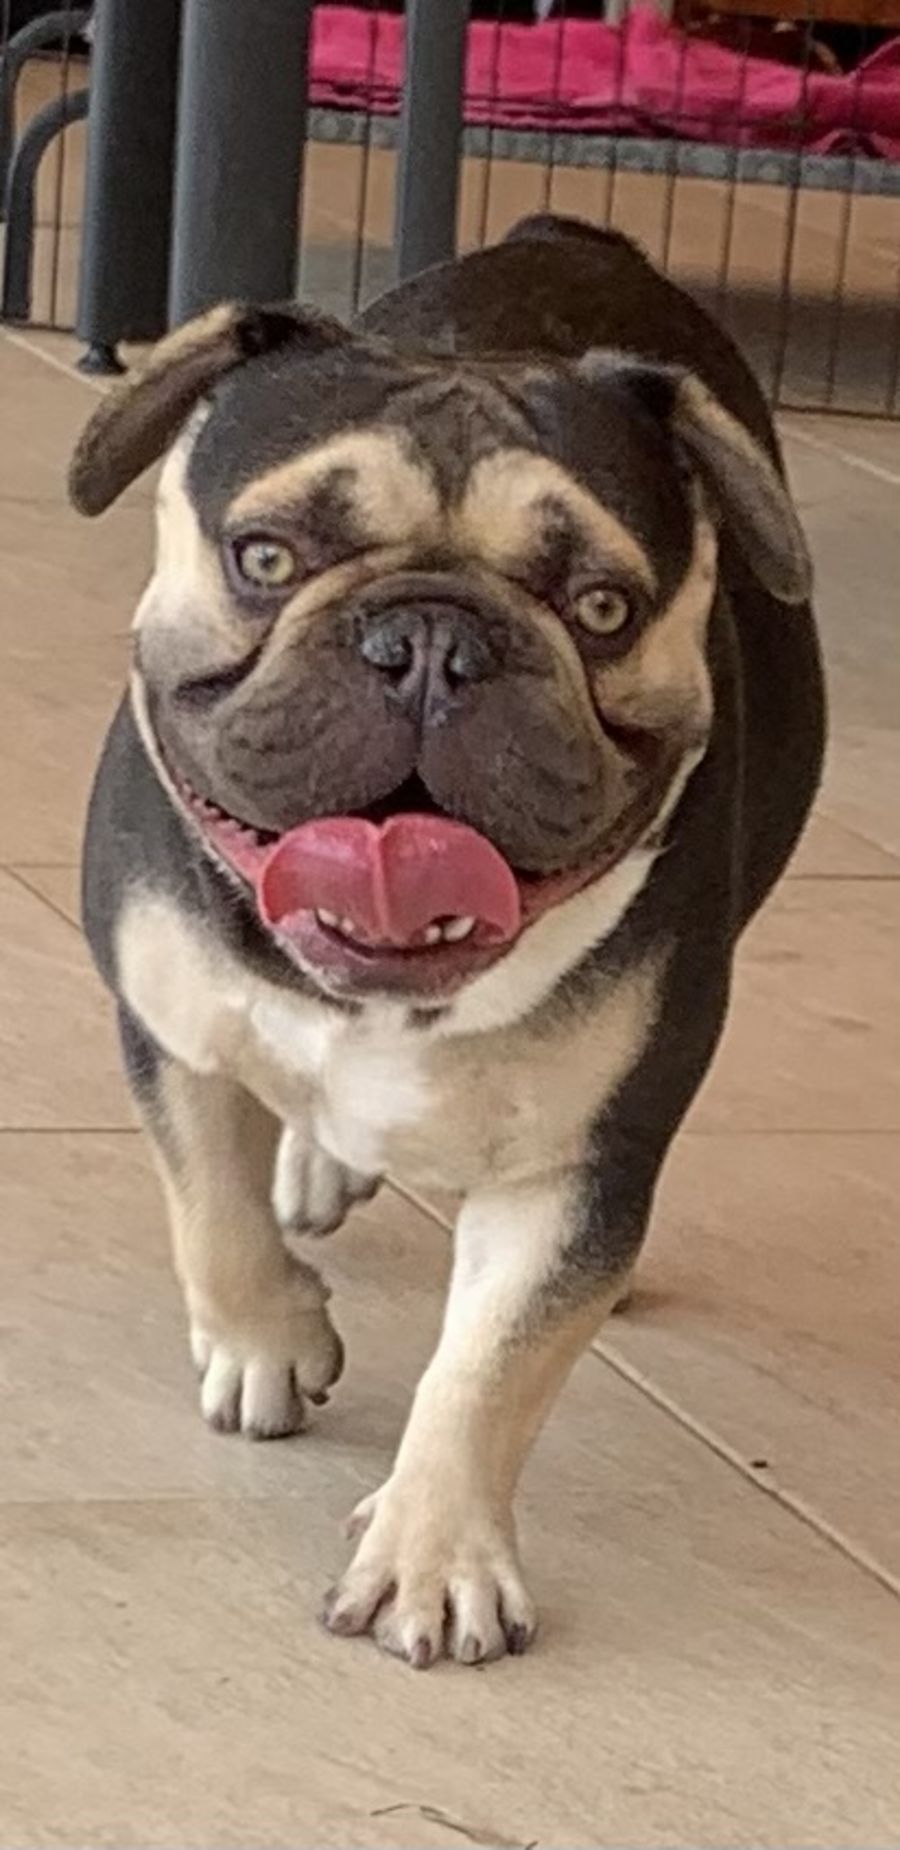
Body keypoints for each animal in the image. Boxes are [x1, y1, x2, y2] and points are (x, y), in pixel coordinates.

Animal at [70, 215, 825, 1669]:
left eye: (602, 607)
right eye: (265, 557)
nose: (430, 638)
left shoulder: (572, 1166)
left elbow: (493, 1364)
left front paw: (433, 1555)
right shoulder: (169, 1027)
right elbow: (209, 1206)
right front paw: (268, 1341)